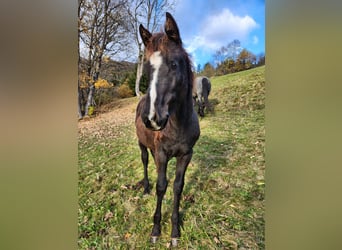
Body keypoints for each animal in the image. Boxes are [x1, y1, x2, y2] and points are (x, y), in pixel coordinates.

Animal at [135, 12, 200, 246]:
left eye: (174, 64)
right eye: (146, 69)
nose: (151, 119)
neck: (177, 124)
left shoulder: (186, 155)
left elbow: (177, 187)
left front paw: (174, 231)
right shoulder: (162, 153)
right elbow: (161, 186)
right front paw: (156, 229)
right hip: (142, 145)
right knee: (146, 162)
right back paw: (145, 187)